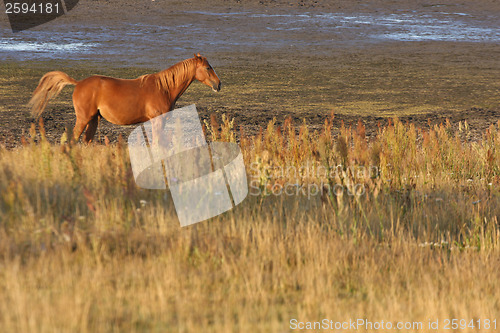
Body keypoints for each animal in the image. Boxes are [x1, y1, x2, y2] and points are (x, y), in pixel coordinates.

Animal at [28, 53, 221, 143]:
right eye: (208, 67)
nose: (218, 84)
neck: (163, 88)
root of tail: (79, 83)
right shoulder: (157, 120)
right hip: (83, 119)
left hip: (93, 120)